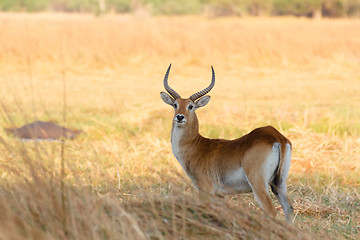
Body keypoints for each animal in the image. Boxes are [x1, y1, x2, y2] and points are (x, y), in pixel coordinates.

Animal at [162, 63, 294, 221]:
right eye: (175, 104)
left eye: (191, 106)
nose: (180, 117)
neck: (196, 147)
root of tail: (276, 137)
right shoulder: (220, 195)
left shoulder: (205, 189)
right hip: (279, 183)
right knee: (289, 209)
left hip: (259, 184)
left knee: (271, 211)